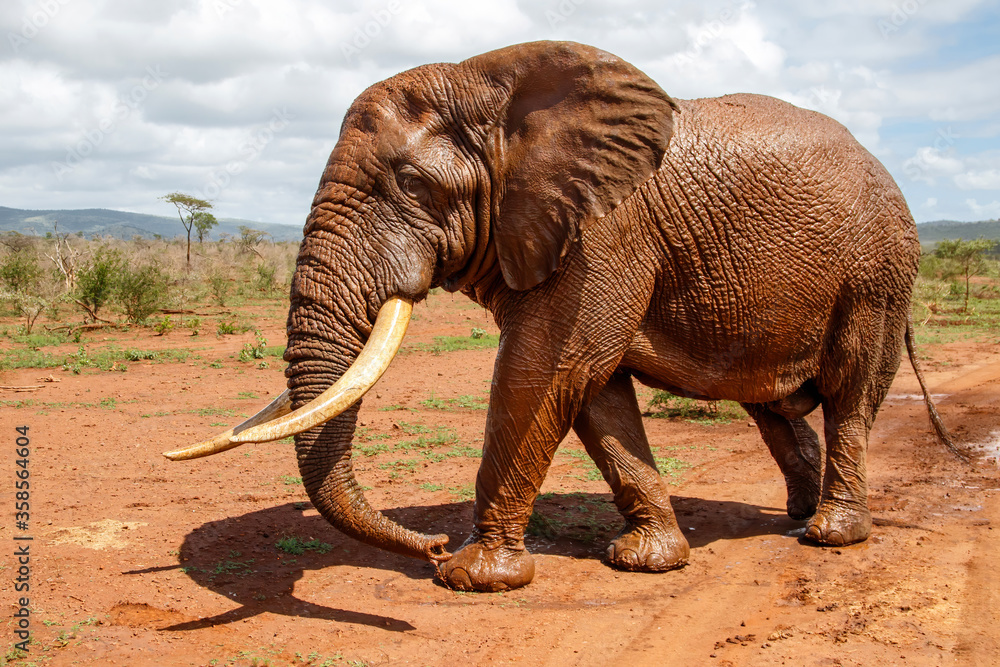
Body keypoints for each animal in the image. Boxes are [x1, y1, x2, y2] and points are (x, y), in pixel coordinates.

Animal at [165, 41, 960, 592]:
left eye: (413, 184)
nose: (430, 546)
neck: (489, 81)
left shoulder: (606, 235)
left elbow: (545, 370)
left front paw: (474, 577)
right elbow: (593, 391)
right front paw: (647, 560)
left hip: (877, 274)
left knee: (850, 391)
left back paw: (830, 533)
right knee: (773, 408)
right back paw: (795, 516)